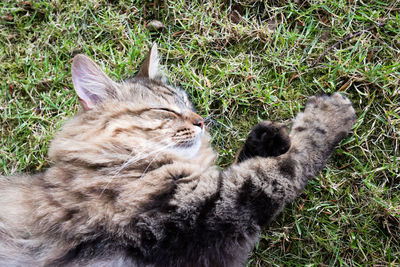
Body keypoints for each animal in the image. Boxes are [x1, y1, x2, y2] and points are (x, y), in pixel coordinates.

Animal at [0, 45, 356, 266]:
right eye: (166, 111)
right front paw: (331, 114)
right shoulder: (216, 209)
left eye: (188, 104)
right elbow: (295, 157)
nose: (201, 122)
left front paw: (266, 138)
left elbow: (254, 159)